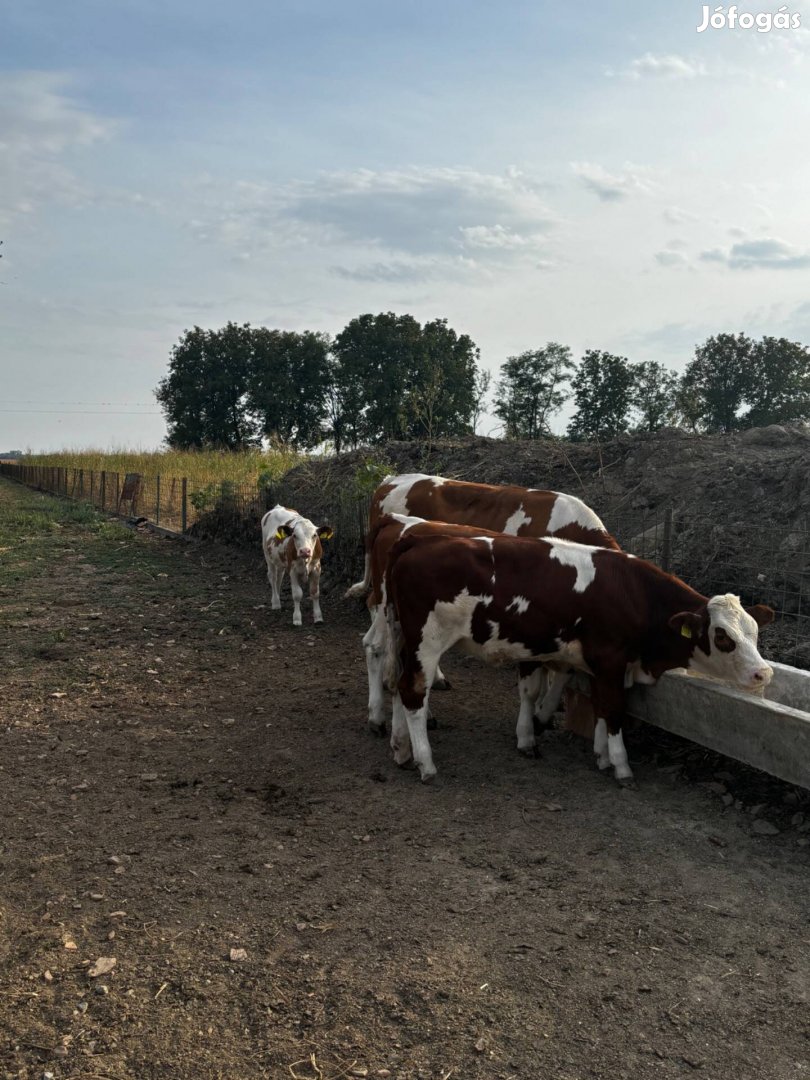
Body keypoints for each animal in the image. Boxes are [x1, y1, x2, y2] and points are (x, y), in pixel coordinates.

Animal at [384, 531, 777, 786]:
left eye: (755, 631)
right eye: (722, 636)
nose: (763, 673)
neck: (636, 594)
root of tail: (419, 540)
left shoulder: (600, 665)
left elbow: (601, 707)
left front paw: (601, 754)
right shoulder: (612, 659)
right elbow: (614, 709)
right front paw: (620, 765)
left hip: (404, 639)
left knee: (400, 686)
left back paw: (401, 749)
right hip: (427, 640)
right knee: (414, 691)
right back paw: (425, 762)